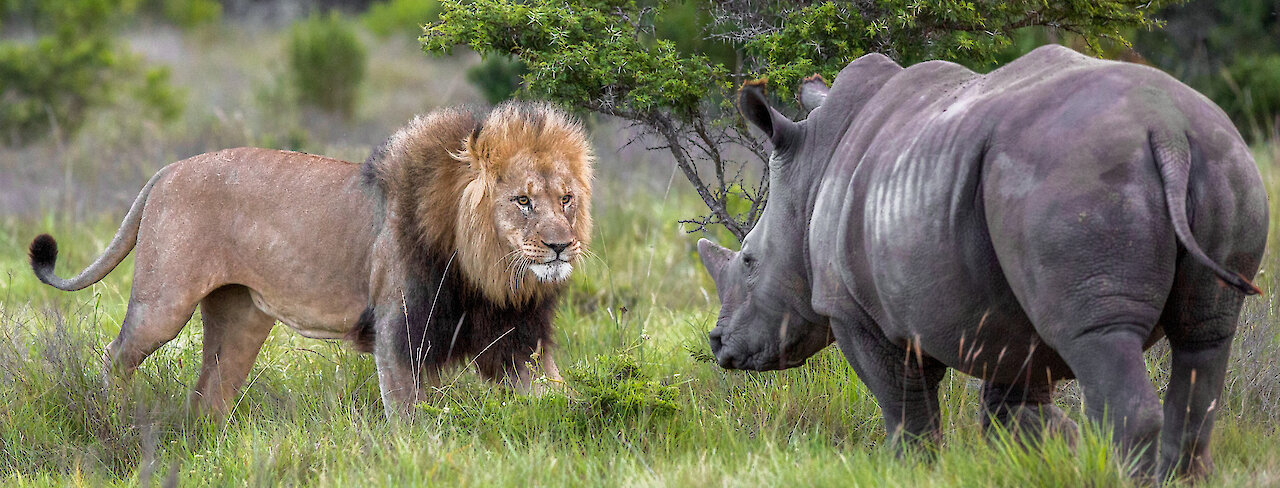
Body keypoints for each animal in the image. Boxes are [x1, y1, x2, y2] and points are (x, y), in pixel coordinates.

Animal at [28, 101, 594, 417]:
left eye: (566, 199)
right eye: (522, 201)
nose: (561, 245)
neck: (492, 275)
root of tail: (166, 170)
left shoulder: (516, 340)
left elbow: (557, 402)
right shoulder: (399, 334)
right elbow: (409, 421)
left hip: (239, 317)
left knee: (209, 396)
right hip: (162, 305)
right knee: (114, 357)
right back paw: (115, 419)